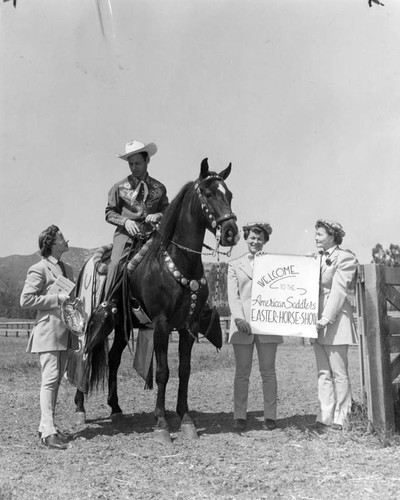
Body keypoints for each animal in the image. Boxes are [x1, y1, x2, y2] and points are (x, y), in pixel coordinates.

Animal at [74, 158, 238, 444]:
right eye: (208, 194)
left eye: (229, 194)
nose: (231, 232)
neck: (177, 262)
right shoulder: (162, 325)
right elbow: (163, 373)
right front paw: (161, 423)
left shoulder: (188, 326)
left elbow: (184, 370)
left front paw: (186, 419)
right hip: (91, 324)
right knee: (83, 356)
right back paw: (80, 408)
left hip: (123, 327)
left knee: (113, 359)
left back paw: (116, 408)